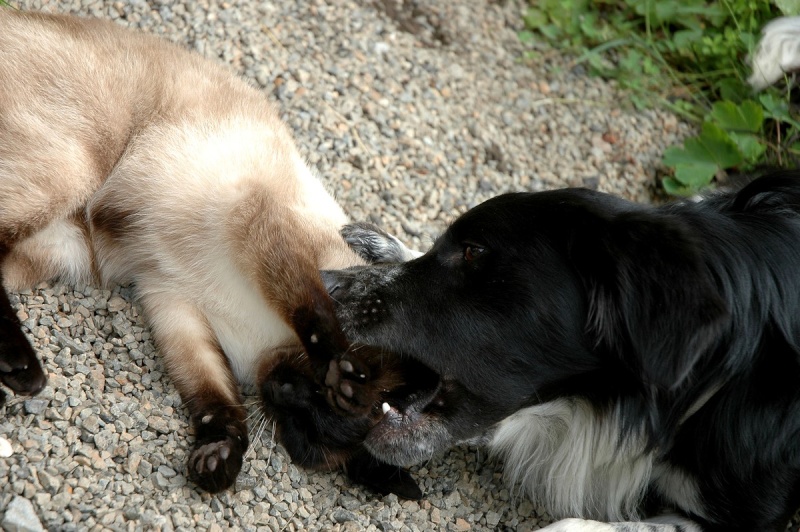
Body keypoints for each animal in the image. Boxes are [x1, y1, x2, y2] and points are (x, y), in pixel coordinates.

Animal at [1, 9, 418, 494]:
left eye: (302, 428)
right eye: (316, 390)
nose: (279, 390)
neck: (263, 341)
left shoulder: (173, 302)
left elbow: (214, 400)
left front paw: (217, 461)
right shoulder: (260, 228)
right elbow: (314, 312)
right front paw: (340, 362)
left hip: (57, 247)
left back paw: (18, 373)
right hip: (71, 174)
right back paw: (25, 374)